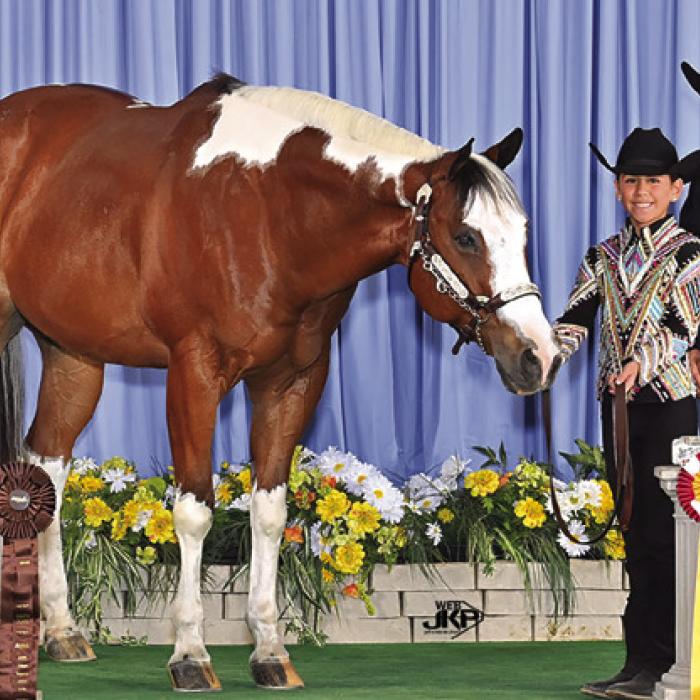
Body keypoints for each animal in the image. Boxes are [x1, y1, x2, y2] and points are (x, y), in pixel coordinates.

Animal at [0, 73, 560, 691]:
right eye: (465, 237)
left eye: (522, 232)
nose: (540, 356)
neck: (266, 212)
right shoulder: (194, 373)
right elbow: (194, 512)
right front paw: (190, 655)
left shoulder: (291, 382)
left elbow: (268, 513)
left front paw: (269, 651)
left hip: (73, 355)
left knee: (48, 463)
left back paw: (62, 631)